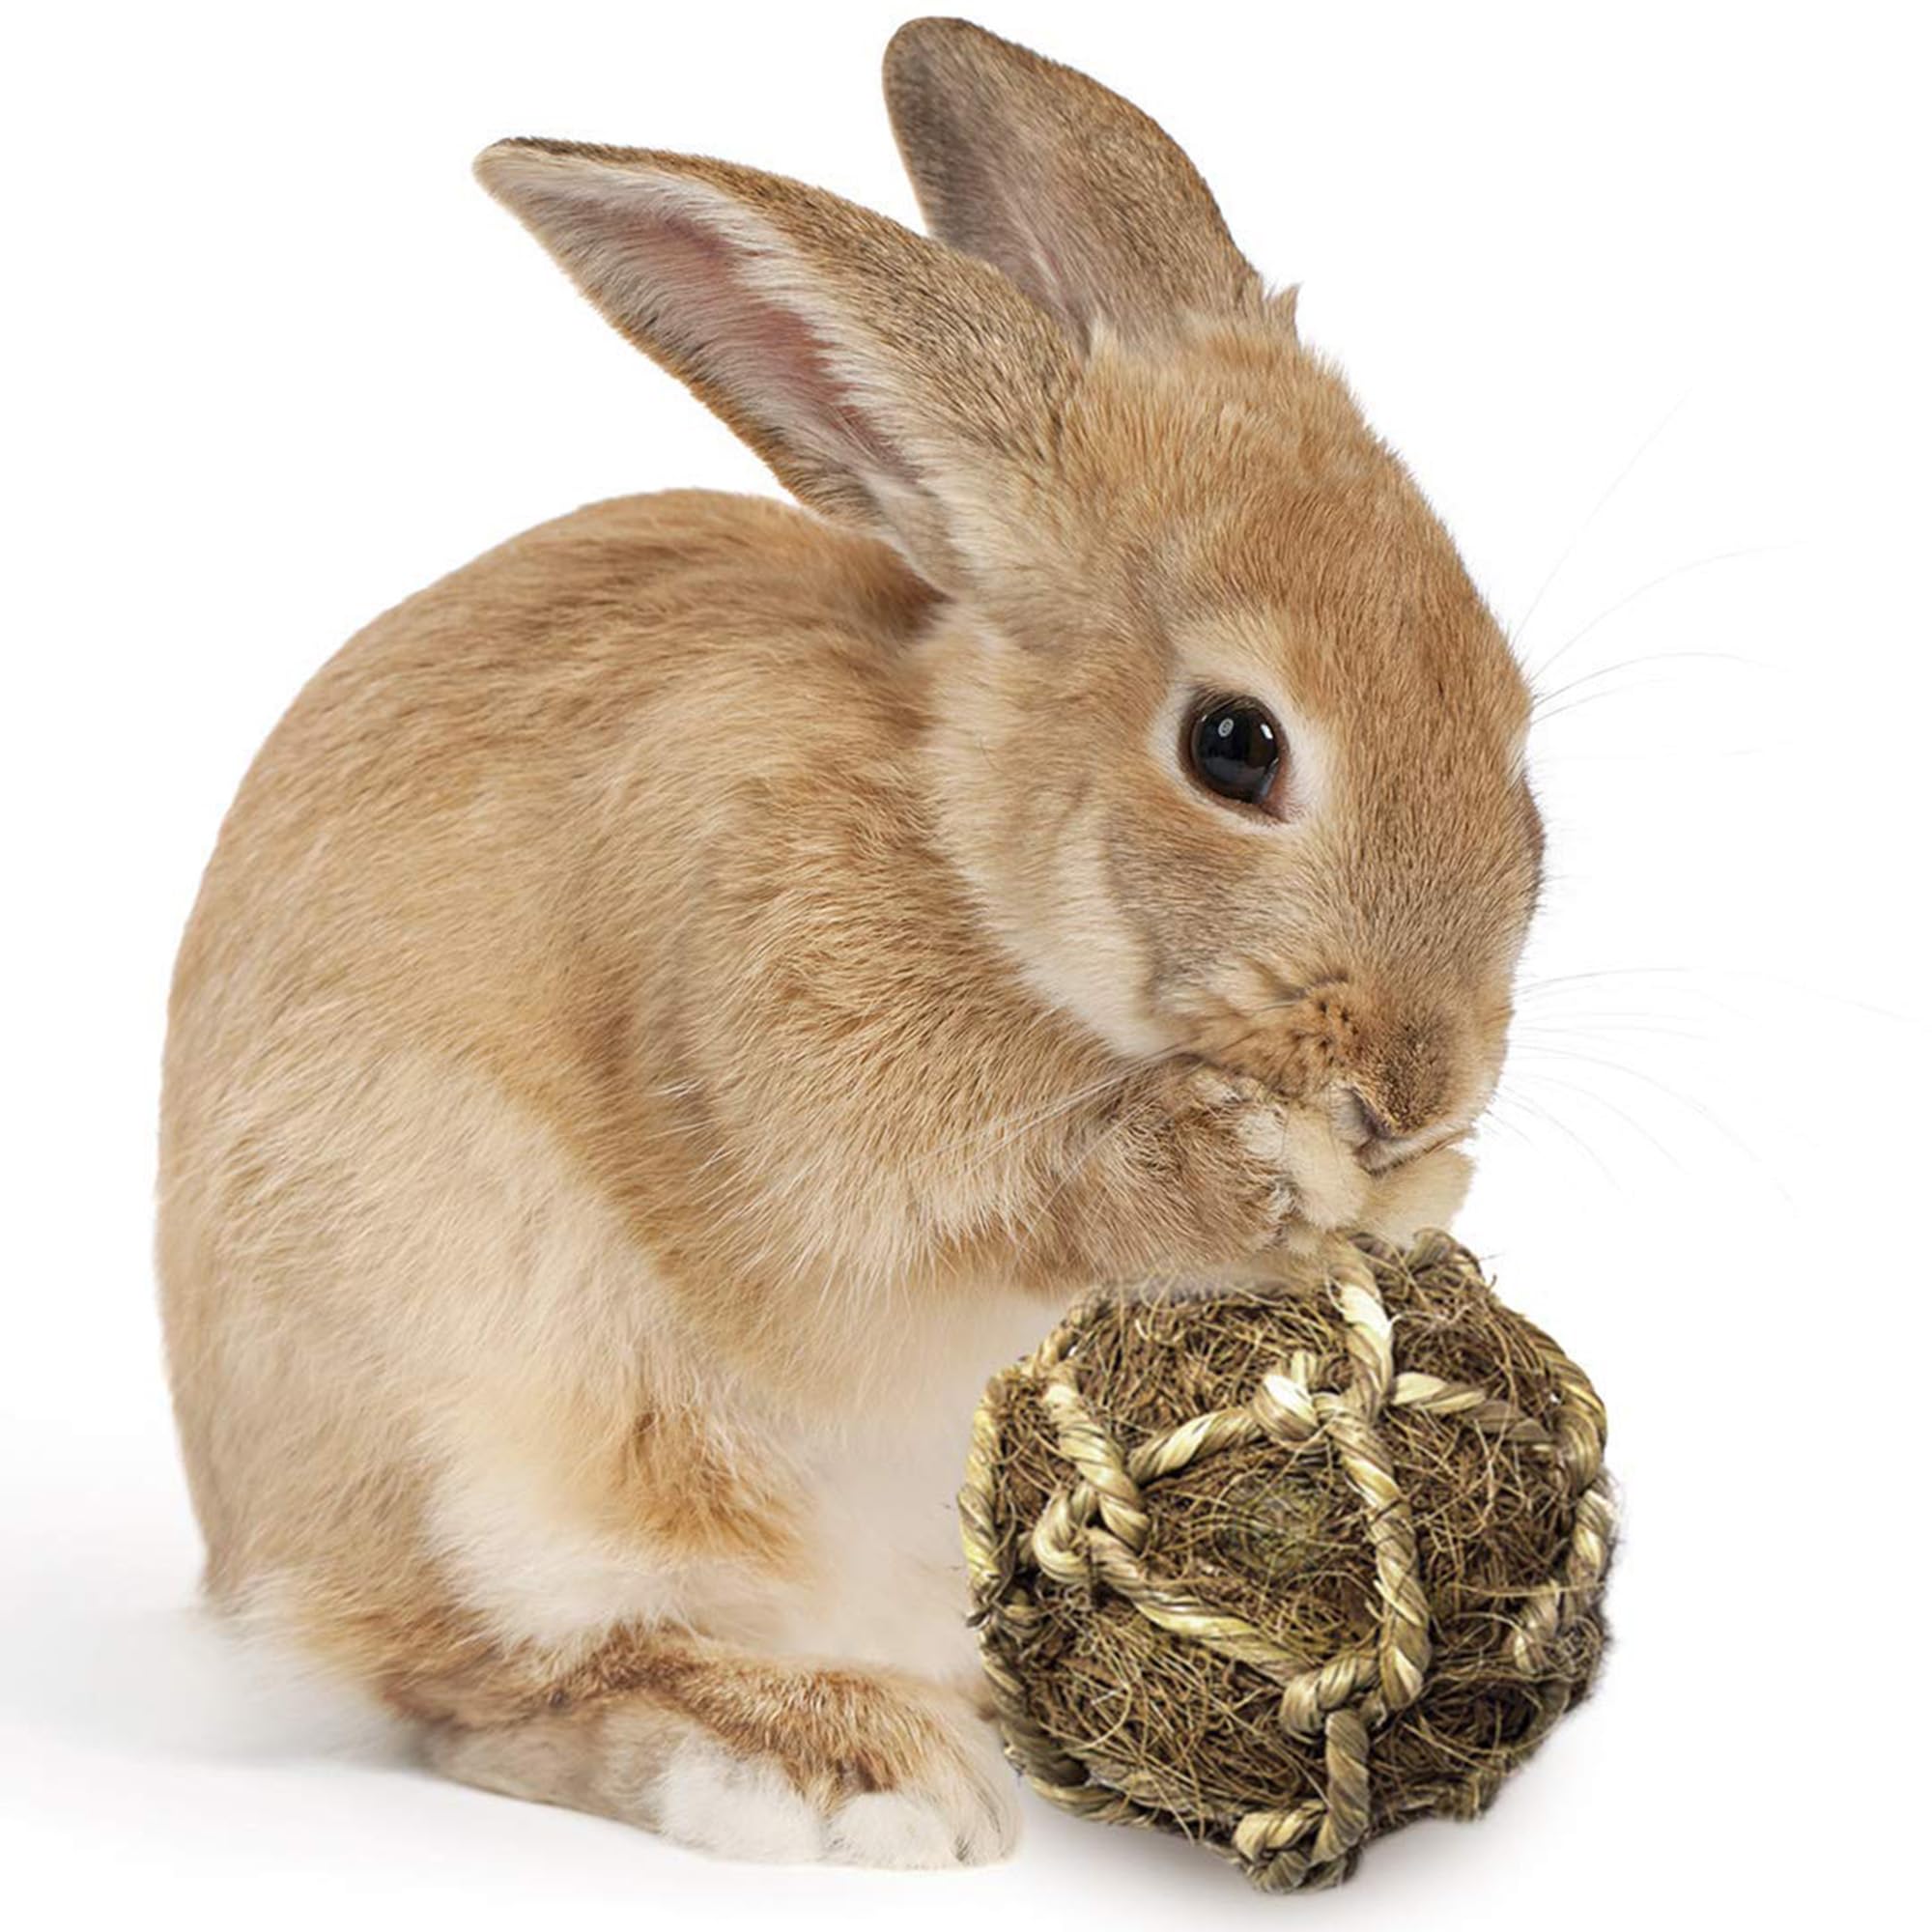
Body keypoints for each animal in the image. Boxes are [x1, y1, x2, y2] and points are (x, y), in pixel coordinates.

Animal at [157, 16, 1544, 1871]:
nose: (1421, 1081)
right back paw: (837, 1764)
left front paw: (1409, 1192)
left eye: (1510, 715)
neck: (968, 854)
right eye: (1234, 747)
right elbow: (975, 1209)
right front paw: (1251, 1174)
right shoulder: (791, 1092)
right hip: (492, 1420)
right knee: (492, 1692)